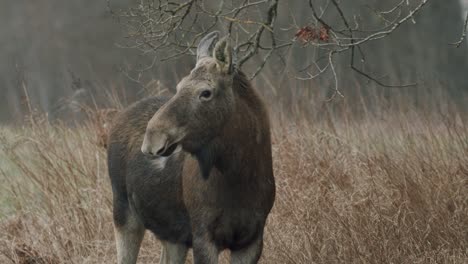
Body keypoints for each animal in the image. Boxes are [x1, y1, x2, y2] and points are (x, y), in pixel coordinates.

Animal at [107, 32, 274, 262]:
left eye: (206, 92)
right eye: (178, 86)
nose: (152, 139)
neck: (240, 175)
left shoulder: (252, 240)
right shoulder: (203, 236)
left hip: (172, 235)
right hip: (124, 214)